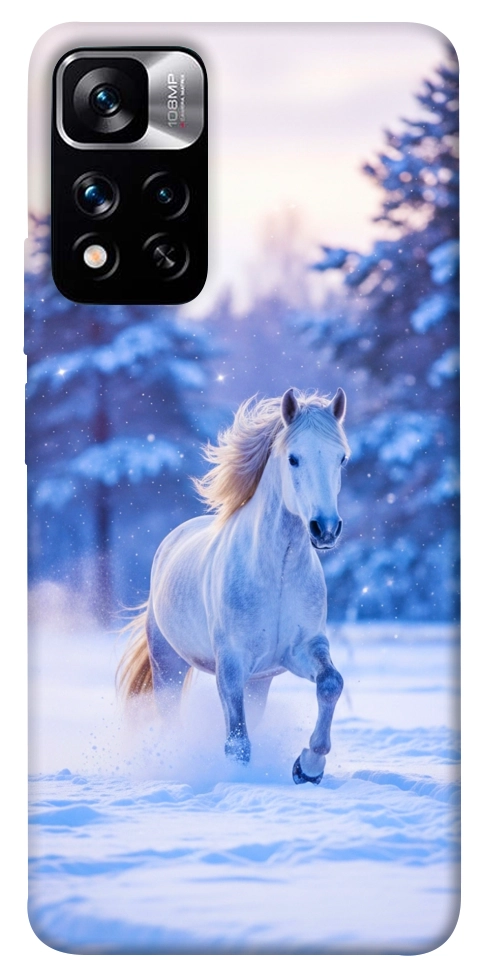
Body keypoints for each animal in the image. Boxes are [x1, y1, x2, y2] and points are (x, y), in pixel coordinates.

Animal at [118, 387, 350, 784]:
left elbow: (331, 683)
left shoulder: (301, 649)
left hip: (259, 682)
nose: (325, 529)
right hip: (168, 665)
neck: (277, 573)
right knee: (171, 717)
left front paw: (308, 767)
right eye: (293, 458)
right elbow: (237, 742)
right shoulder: (231, 664)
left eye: (341, 459)